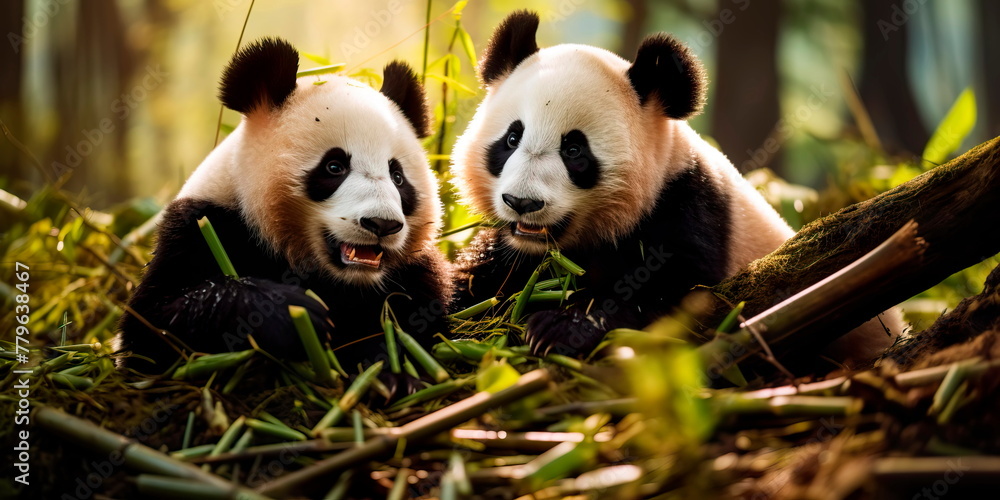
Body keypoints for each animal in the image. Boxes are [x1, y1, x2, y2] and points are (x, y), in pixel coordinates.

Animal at [117, 38, 452, 374]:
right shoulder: (201, 226)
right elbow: (151, 330)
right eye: (334, 167)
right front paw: (293, 312)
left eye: (397, 177)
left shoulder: (415, 273)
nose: (382, 224)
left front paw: (394, 371)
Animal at [450, 11, 899, 365]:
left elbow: (672, 295)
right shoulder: (513, 249)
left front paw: (557, 327)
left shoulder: (687, 206)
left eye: (574, 150)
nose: (521, 202)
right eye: (511, 139)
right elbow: (479, 277)